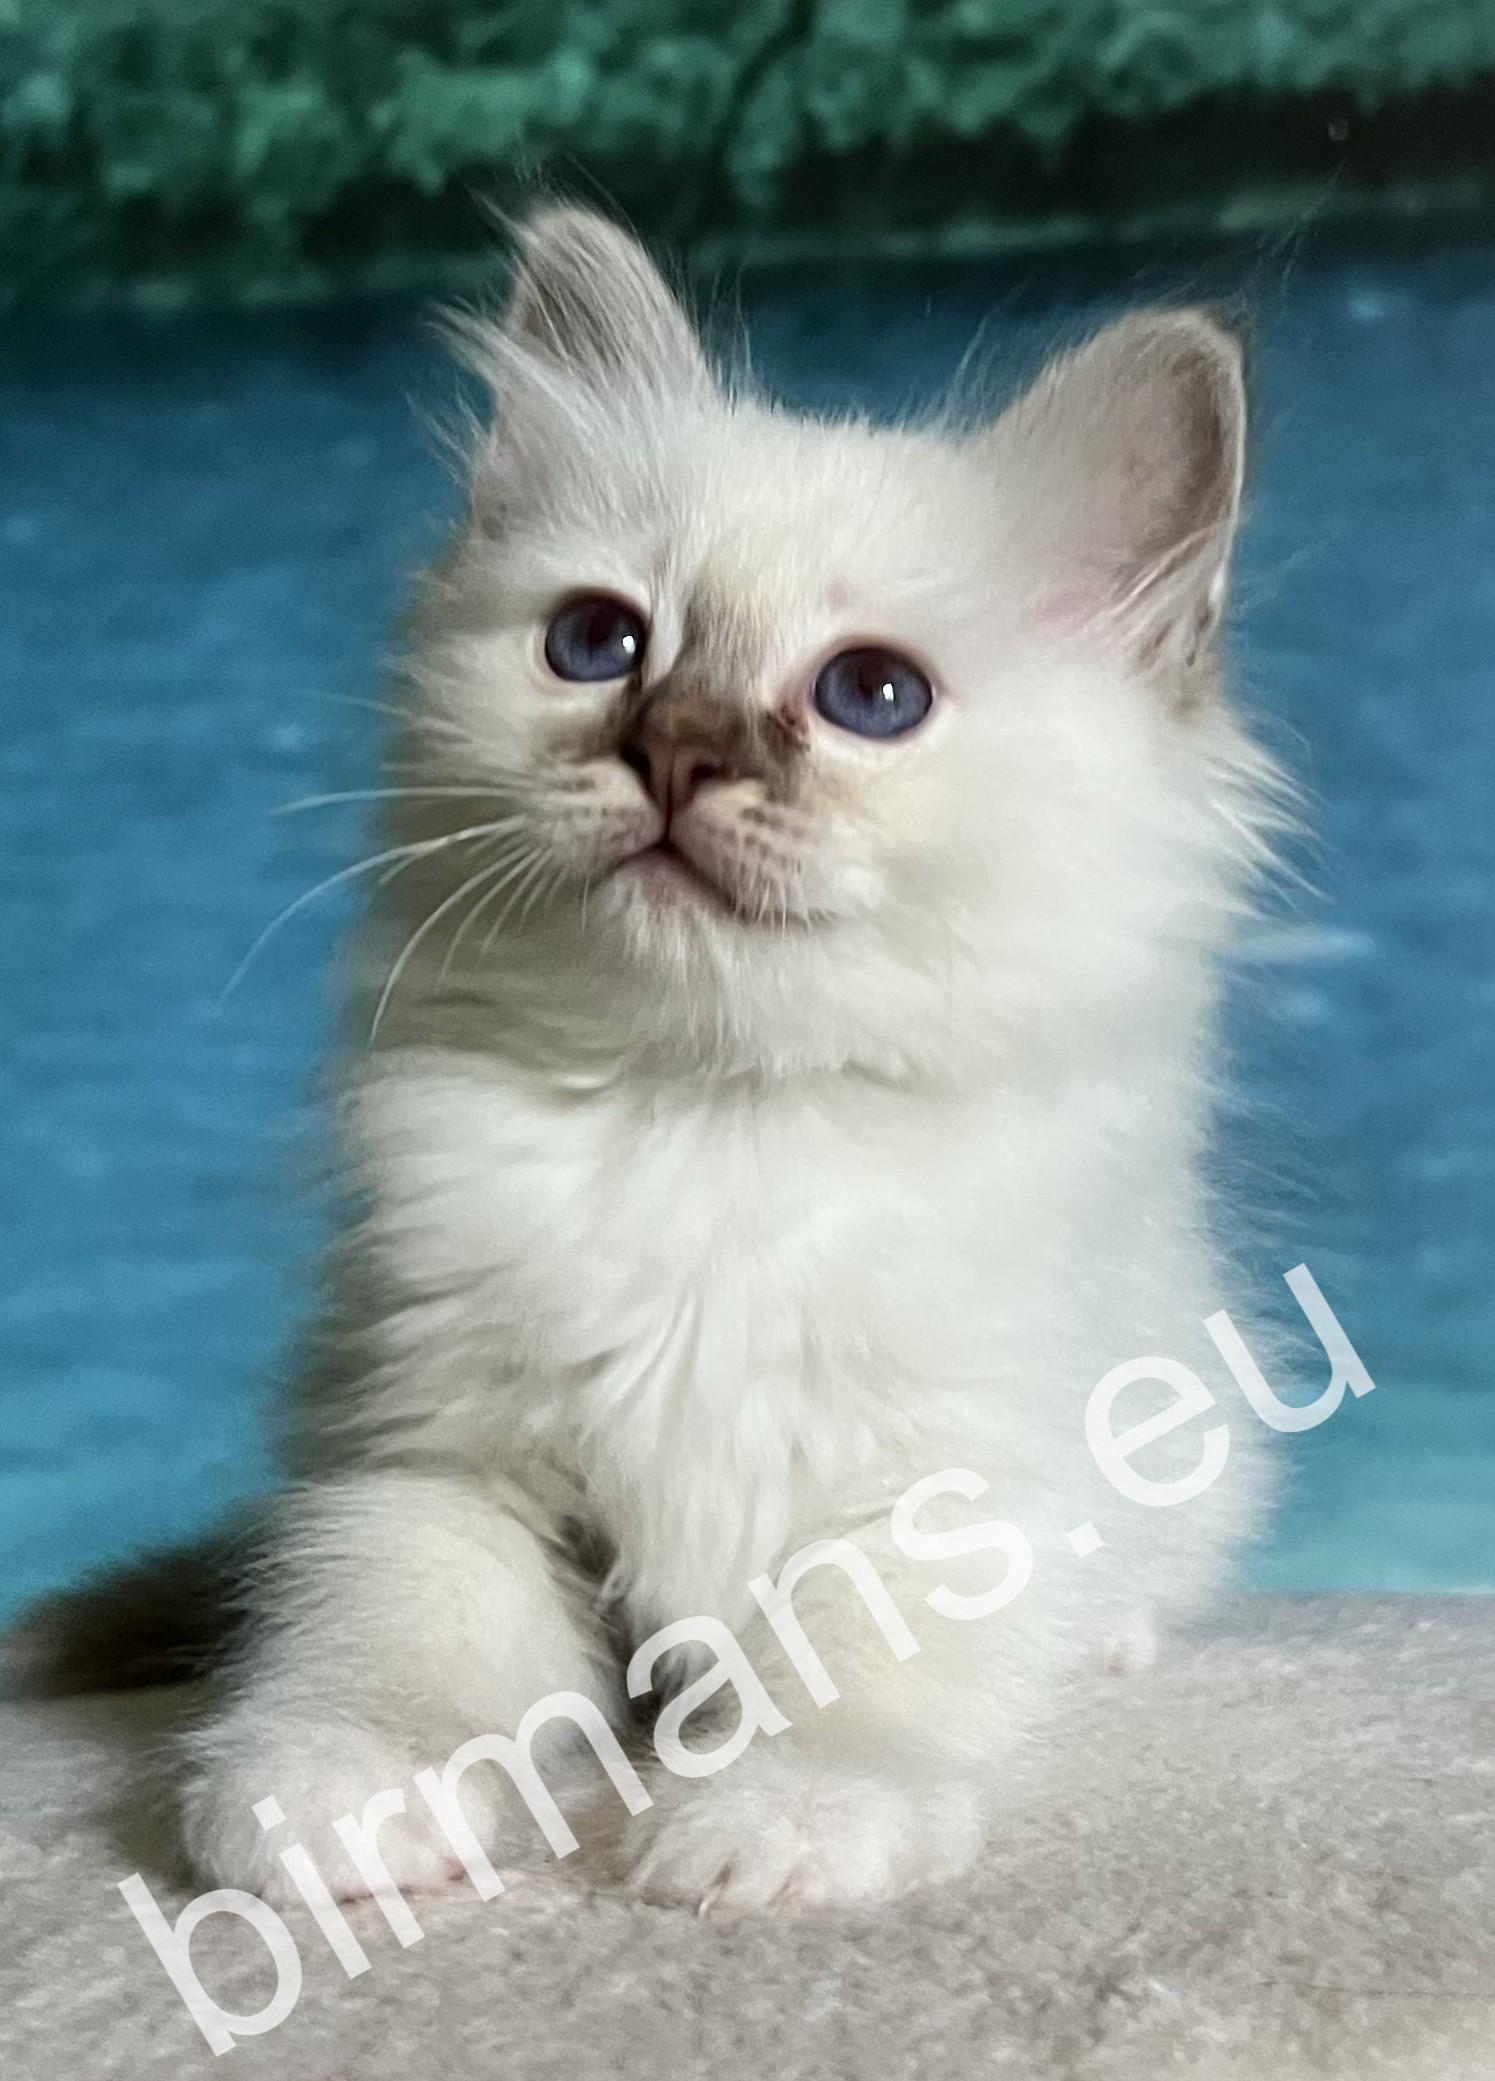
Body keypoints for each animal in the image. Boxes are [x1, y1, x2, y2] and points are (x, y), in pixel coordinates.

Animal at [26, 207, 1290, 1912]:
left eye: (870, 695)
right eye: (597, 643)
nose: (673, 749)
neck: (703, 1118)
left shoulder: (945, 1488)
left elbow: (852, 1674)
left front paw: (778, 1825)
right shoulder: (442, 1459)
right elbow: (386, 1635)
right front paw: (338, 1798)